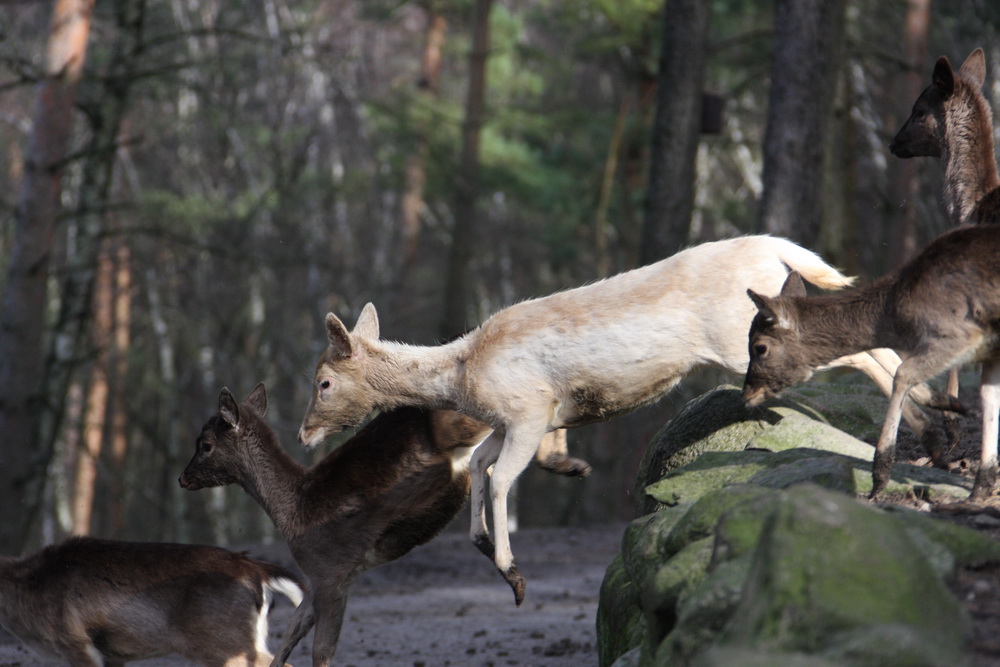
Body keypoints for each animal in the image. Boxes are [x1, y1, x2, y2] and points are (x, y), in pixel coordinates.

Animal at [180, 384, 496, 667]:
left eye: (205, 445)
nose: (183, 478)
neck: (291, 511)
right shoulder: (317, 576)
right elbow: (291, 632)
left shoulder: (331, 571)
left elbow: (321, 651)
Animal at [744, 224, 1000, 500]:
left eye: (760, 348)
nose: (746, 393)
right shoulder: (991, 351)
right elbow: (988, 396)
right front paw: (981, 486)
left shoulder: (958, 334)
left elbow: (903, 374)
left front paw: (879, 480)